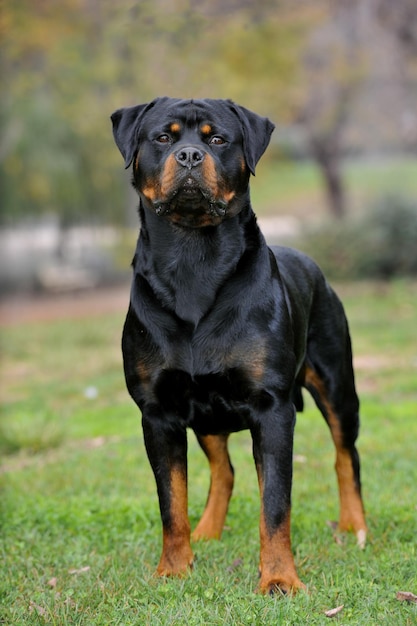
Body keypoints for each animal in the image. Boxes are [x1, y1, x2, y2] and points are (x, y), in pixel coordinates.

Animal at [109, 95, 364, 592]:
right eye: (163, 137)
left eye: (218, 139)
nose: (190, 155)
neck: (193, 261)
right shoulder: (158, 412)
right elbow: (171, 500)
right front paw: (174, 567)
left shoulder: (272, 408)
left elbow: (275, 504)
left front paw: (279, 578)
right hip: (207, 415)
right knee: (222, 469)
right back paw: (207, 532)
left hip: (337, 383)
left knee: (346, 455)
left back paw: (355, 527)